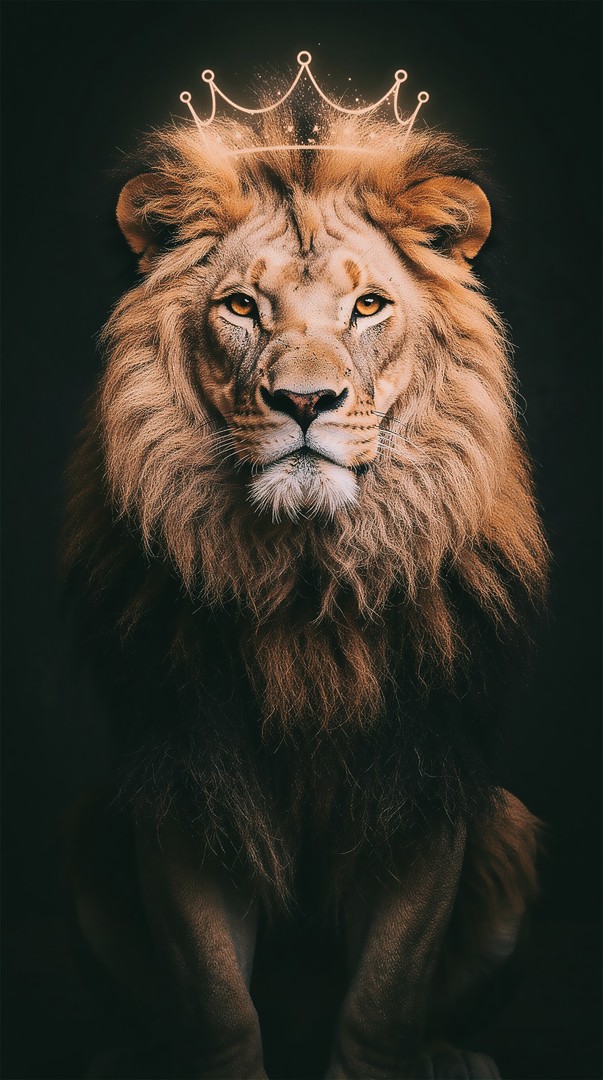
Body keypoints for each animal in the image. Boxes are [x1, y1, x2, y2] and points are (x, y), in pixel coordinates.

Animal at [65, 106, 548, 1079]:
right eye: (241, 307)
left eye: (367, 306)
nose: (304, 401)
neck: (304, 578)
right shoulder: (187, 782)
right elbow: (217, 1011)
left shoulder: (422, 782)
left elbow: (379, 1007)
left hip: (512, 824)